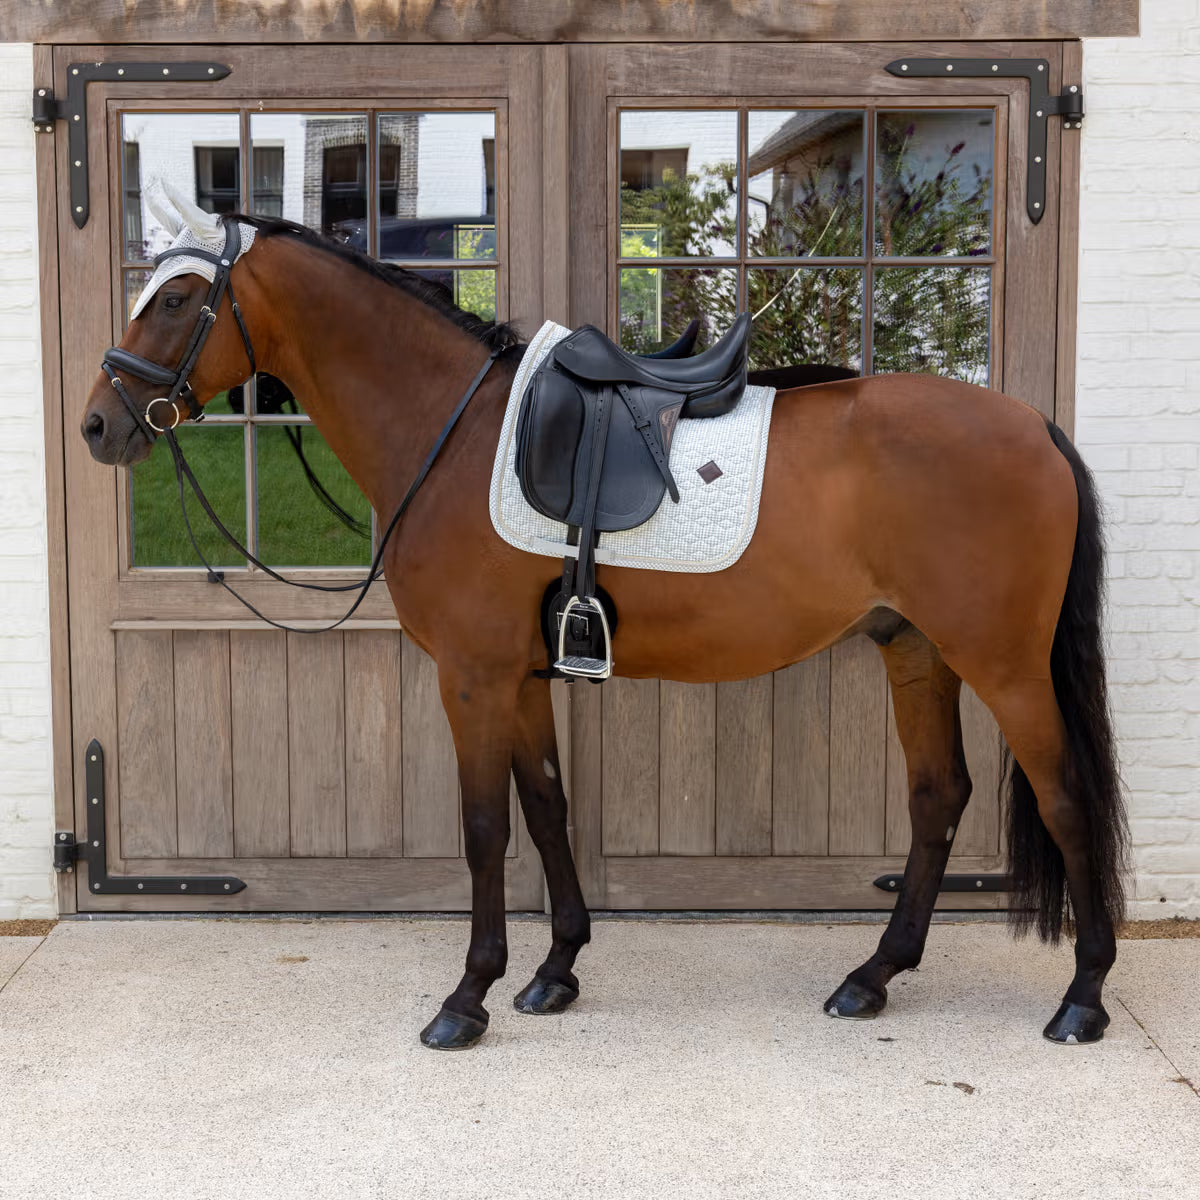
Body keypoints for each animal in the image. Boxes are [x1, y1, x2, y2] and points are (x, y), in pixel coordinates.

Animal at [82, 196, 1127, 1052]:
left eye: (176, 301)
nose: (99, 424)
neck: (453, 432)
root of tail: (1034, 426)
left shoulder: (470, 677)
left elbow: (484, 829)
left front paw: (468, 998)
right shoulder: (519, 678)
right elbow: (547, 810)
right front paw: (555, 972)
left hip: (1004, 664)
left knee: (1066, 798)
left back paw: (1082, 998)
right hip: (915, 650)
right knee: (936, 797)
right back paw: (871, 978)